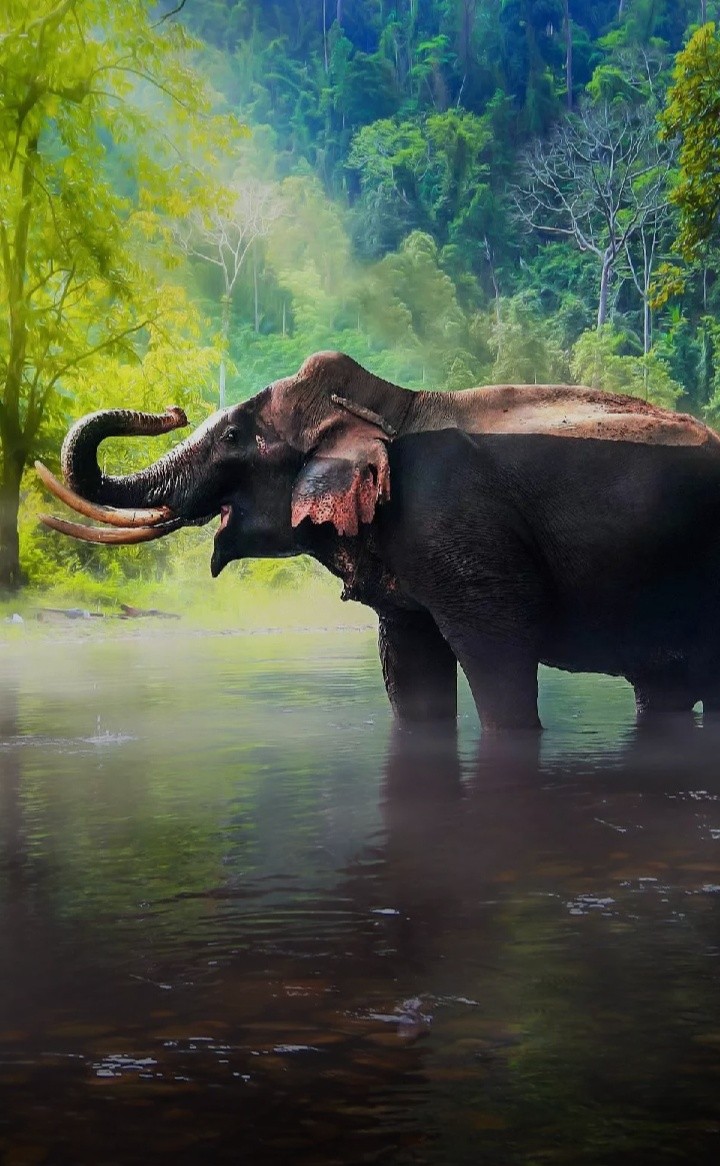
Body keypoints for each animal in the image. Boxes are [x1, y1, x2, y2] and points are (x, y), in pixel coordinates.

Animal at [36, 352, 720, 731]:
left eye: (232, 437)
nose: (172, 410)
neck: (393, 405)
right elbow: (409, 666)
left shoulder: (463, 533)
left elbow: (499, 655)